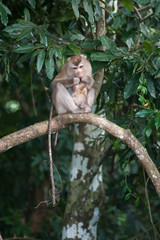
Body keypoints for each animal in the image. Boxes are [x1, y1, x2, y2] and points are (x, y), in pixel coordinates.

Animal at [48, 55, 94, 205]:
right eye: (74, 68)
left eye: (81, 67)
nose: (79, 73)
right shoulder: (65, 71)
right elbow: (55, 82)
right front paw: (74, 81)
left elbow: (91, 82)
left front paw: (87, 79)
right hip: (61, 108)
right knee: (59, 86)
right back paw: (74, 110)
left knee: (91, 89)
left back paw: (86, 108)